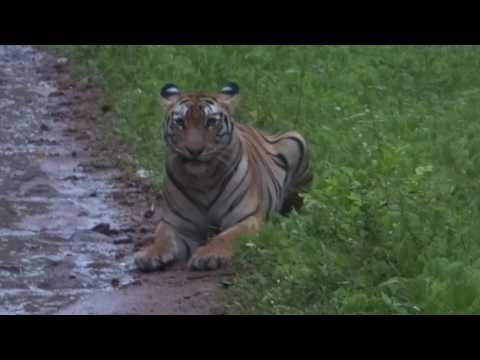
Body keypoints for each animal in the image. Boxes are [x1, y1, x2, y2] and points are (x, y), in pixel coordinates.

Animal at [135, 82, 314, 272]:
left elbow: (227, 236)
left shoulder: (246, 218)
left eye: (211, 122)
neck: (202, 179)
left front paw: (209, 255)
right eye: (180, 122)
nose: (194, 150)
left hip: (296, 141)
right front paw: (150, 254)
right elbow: (163, 237)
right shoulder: (177, 225)